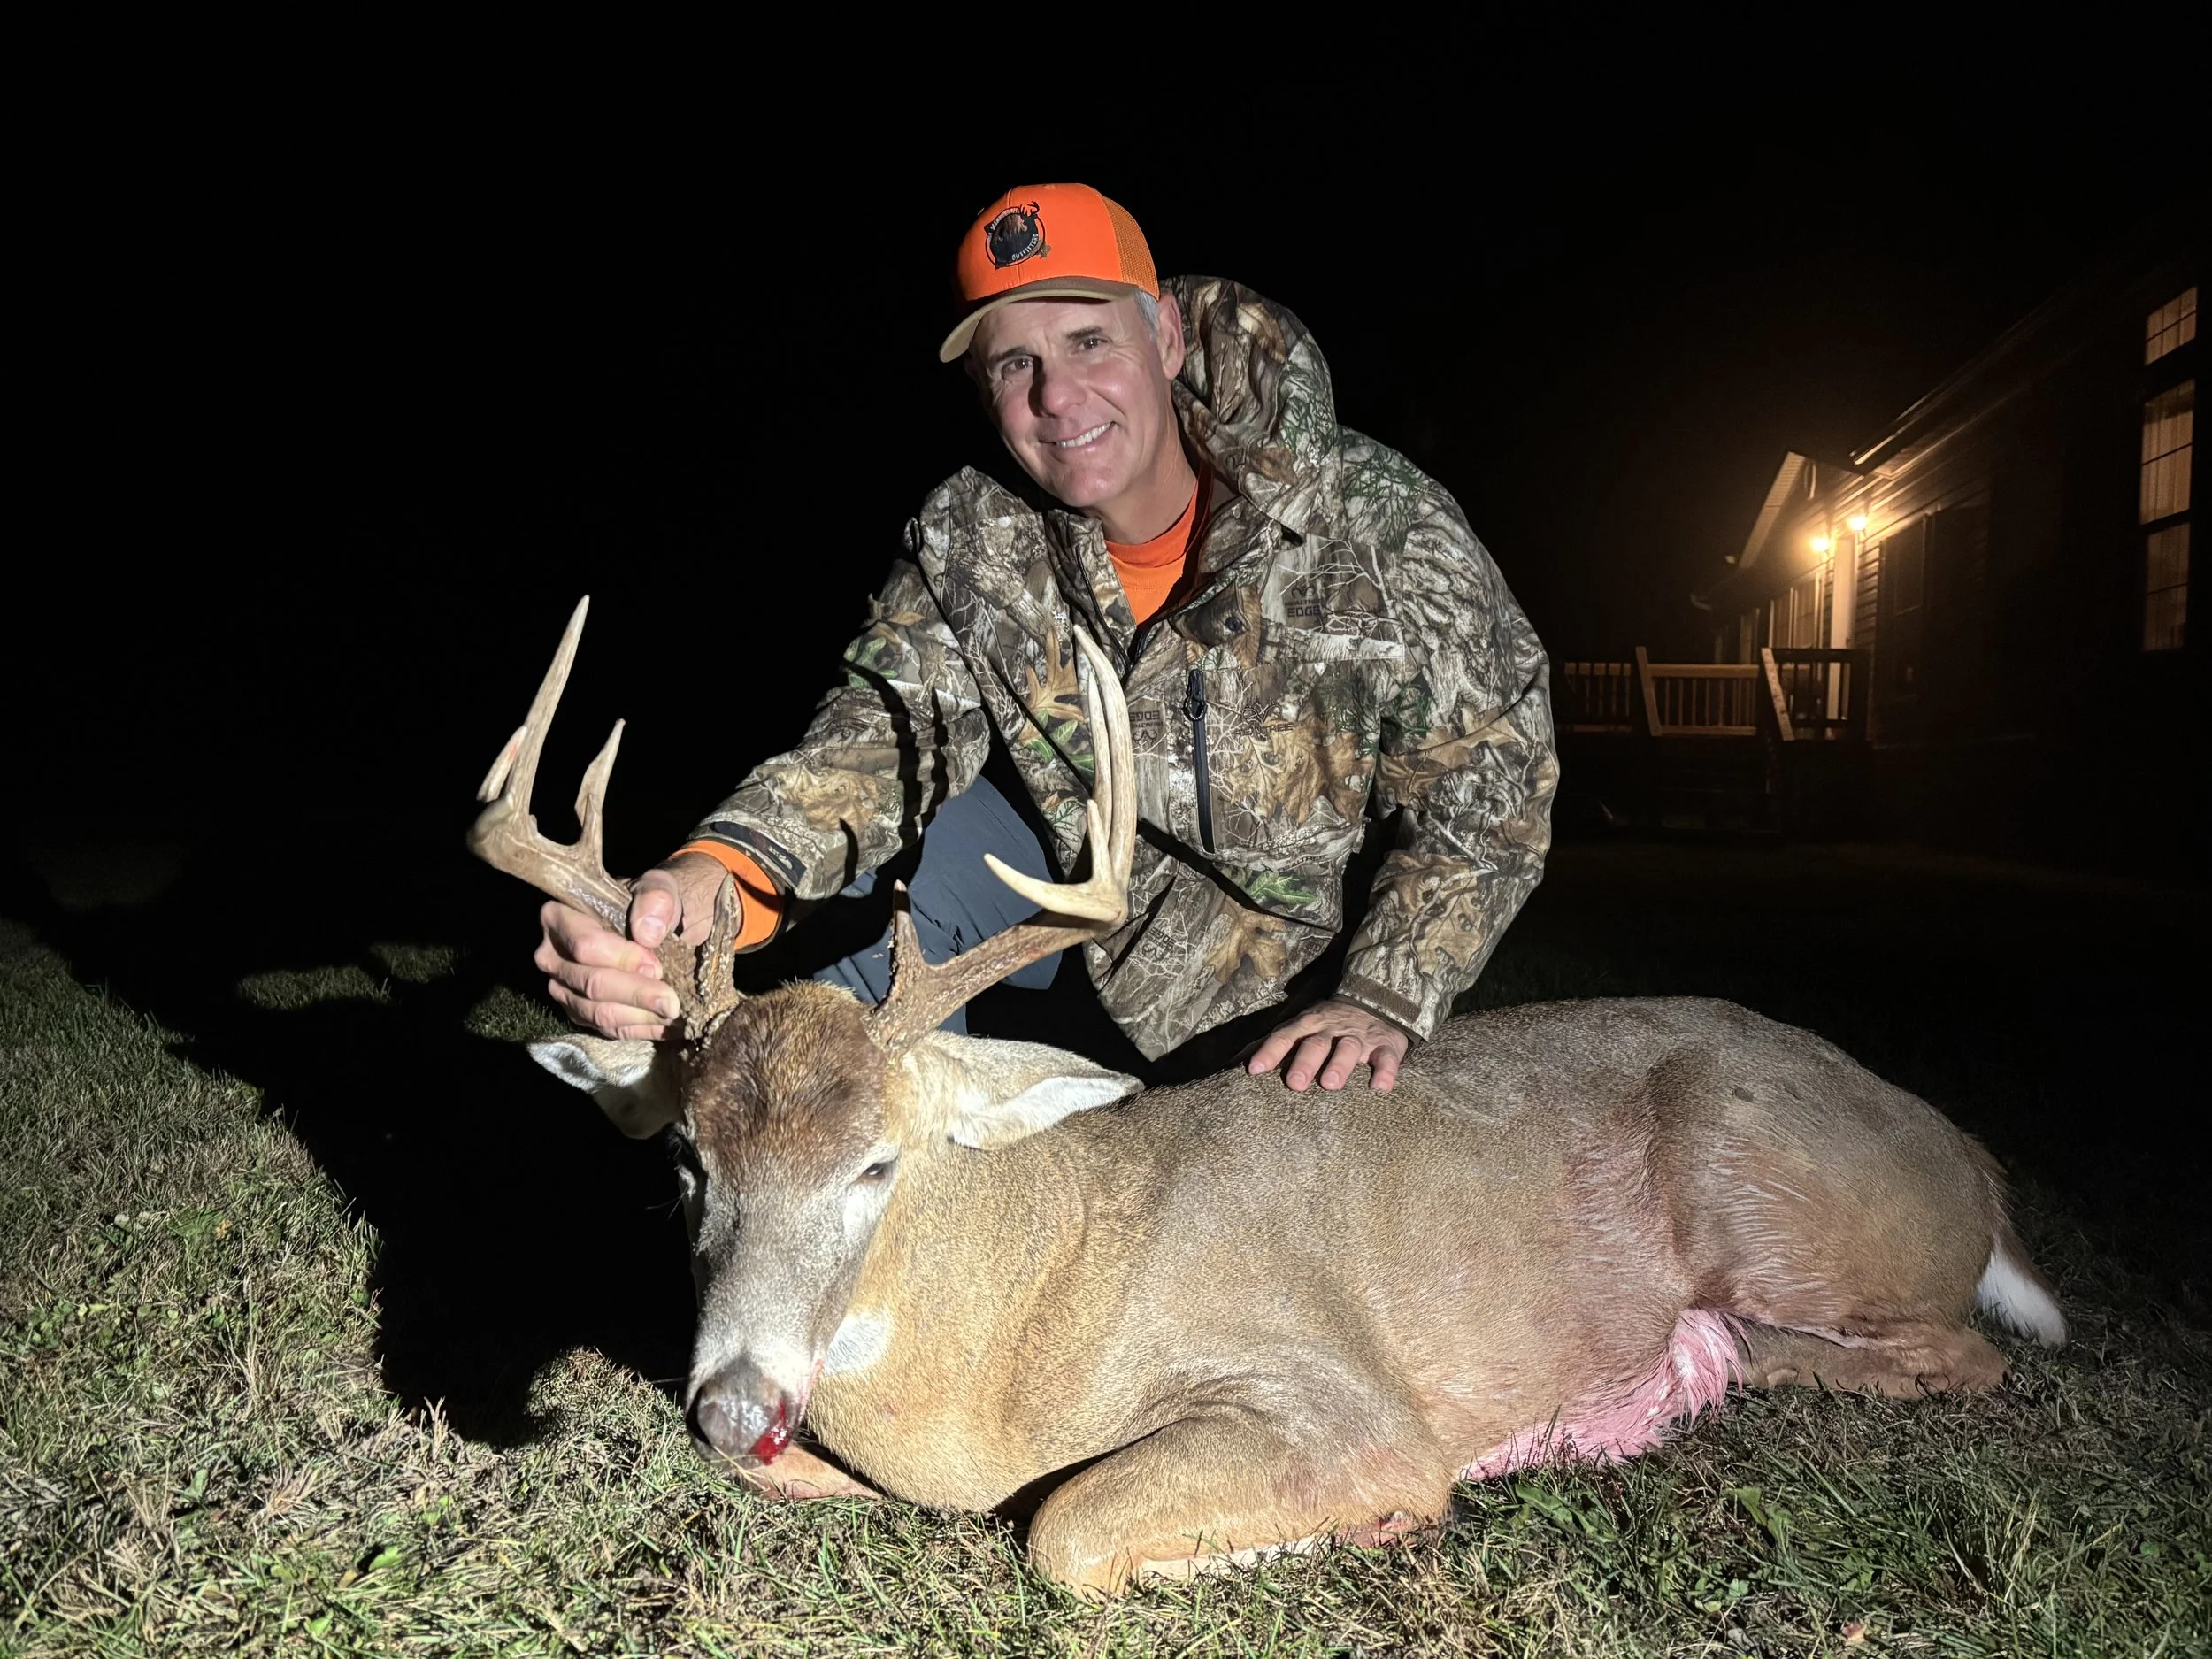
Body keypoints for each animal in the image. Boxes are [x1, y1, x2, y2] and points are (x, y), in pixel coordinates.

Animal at [471, 597, 2067, 1598]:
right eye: (686, 1162)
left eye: (879, 1164)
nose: (736, 1404)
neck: (1021, 1322)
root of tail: (1977, 1166)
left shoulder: (1335, 1394)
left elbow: (1063, 1527)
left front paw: (1376, 1526)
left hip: (1763, 1190)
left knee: (1962, 1355)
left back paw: (1694, 1375)